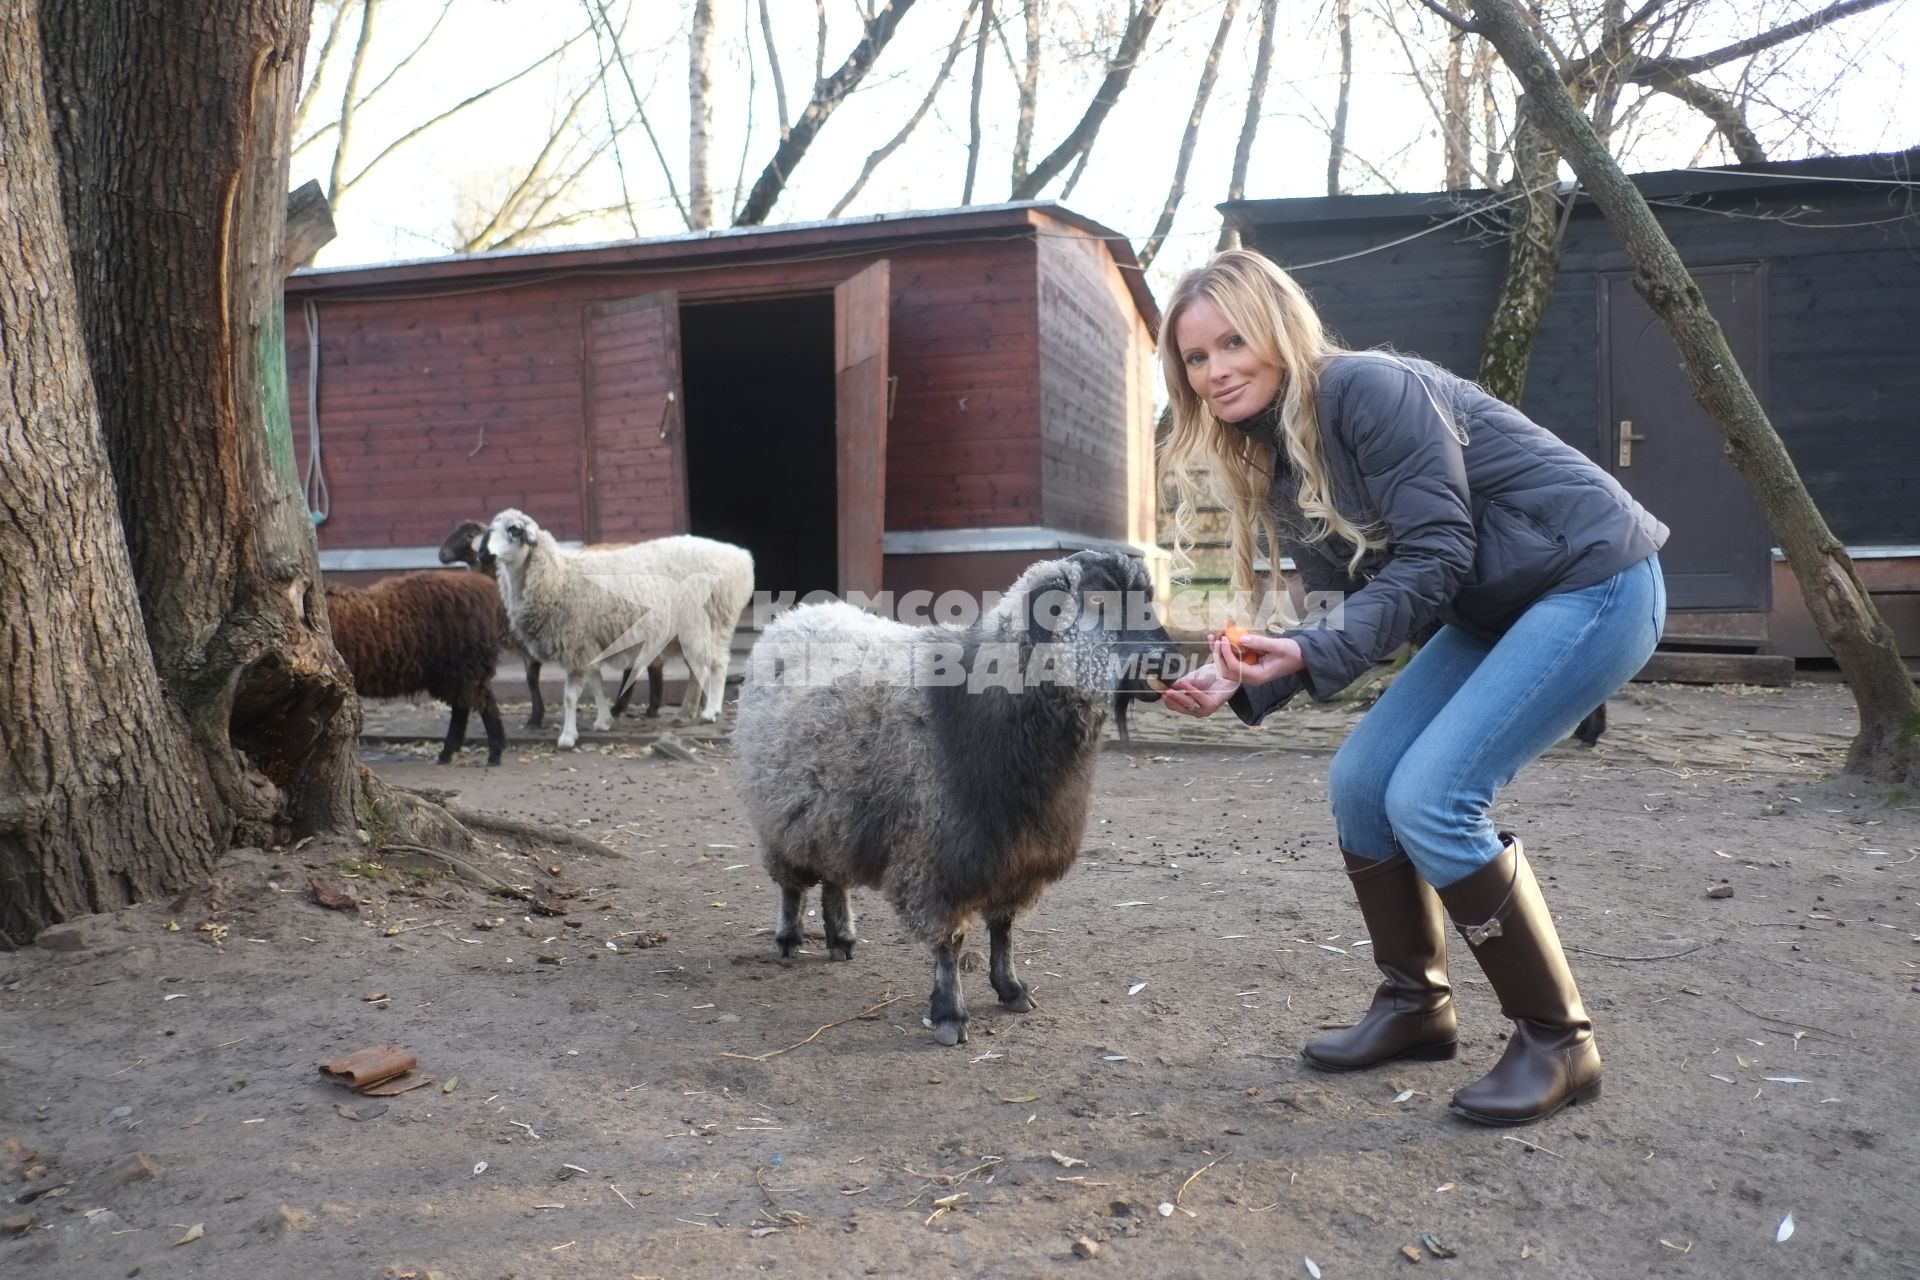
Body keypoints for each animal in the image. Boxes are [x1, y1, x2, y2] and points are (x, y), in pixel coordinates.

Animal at [328, 571, 510, 771]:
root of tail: (486, 587)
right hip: (455, 672)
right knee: (463, 707)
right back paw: (449, 753)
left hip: (465, 665)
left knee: (483, 705)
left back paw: (494, 753)